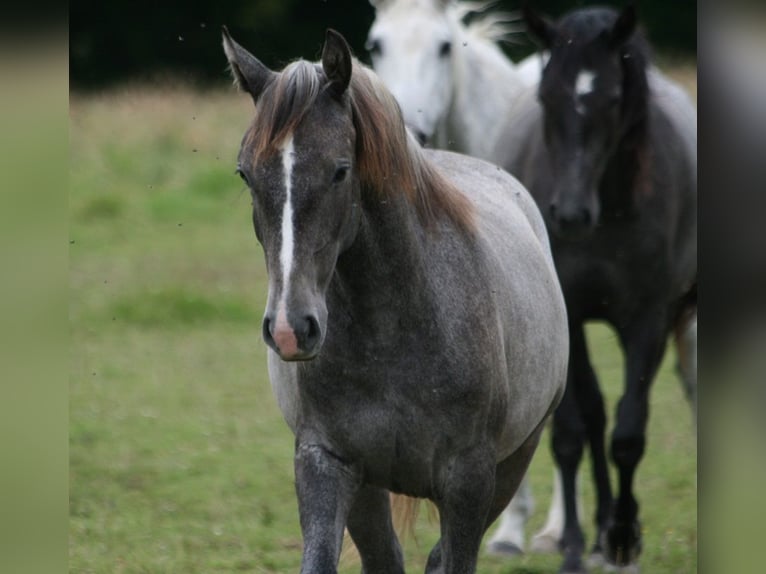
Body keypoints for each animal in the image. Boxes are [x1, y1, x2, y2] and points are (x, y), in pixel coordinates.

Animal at [222, 28, 568, 574]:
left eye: (340, 171)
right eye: (245, 175)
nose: (289, 329)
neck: (395, 329)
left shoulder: (469, 482)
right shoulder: (326, 464)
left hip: (512, 464)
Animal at [492, 4, 704, 574]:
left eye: (611, 99)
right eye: (547, 96)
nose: (568, 214)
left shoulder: (649, 319)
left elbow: (628, 433)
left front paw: (624, 540)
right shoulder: (569, 314)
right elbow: (572, 432)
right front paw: (572, 546)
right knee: (590, 418)